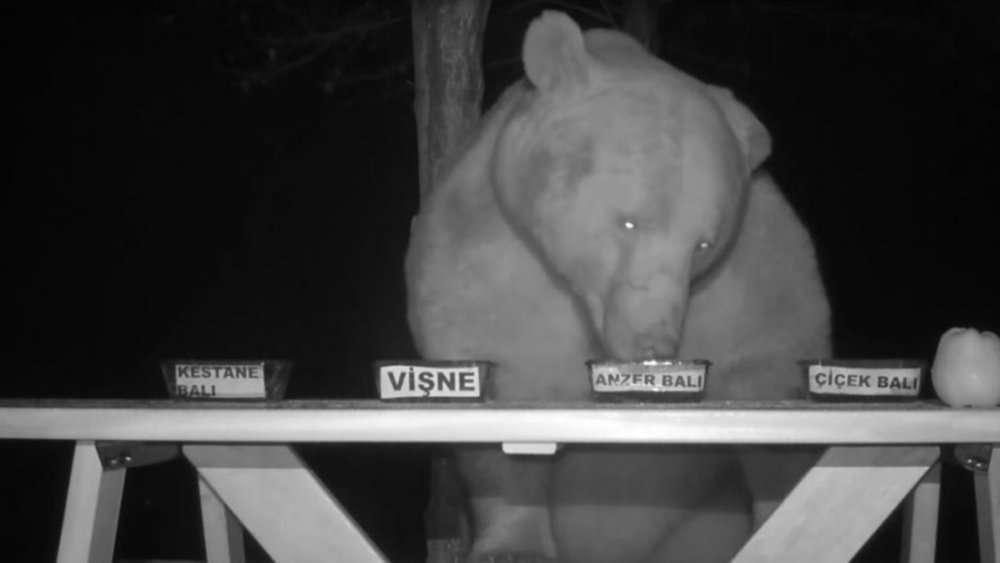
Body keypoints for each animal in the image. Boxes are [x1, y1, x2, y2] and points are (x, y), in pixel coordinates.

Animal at [406, 10, 831, 563]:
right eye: (627, 221)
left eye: (703, 243)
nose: (656, 343)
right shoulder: (491, 251)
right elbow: (501, 380)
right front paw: (514, 544)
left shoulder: (750, 267)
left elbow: (770, 366)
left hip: (700, 523)